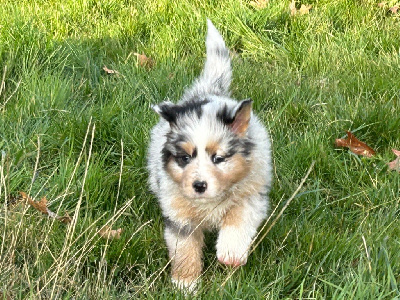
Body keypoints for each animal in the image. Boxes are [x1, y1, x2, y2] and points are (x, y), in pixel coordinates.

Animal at [147, 19, 272, 290]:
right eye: (185, 158)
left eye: (219, 158)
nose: (199, 185)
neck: (210, 202)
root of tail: (208, 91)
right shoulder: (178, 214)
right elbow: (184, 249)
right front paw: (185, 283)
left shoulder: (251, 196)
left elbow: (237, 221)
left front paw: (230, 254)